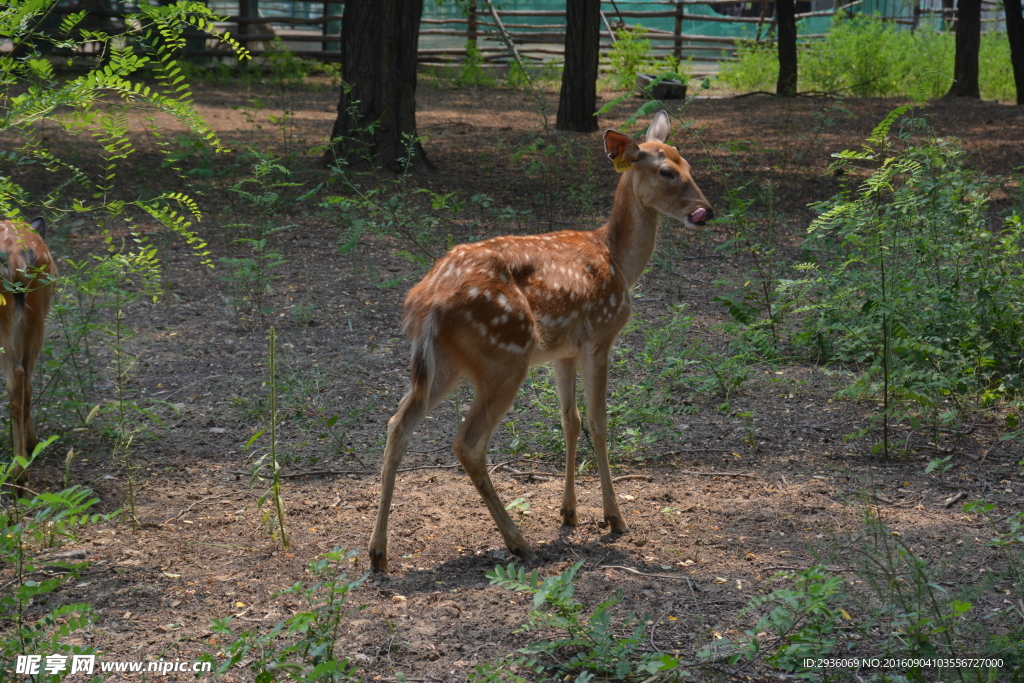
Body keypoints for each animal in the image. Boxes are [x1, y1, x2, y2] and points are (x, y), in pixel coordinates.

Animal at [368, 112, 712, 573]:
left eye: (688, 164)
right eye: (666, 172)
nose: (706, 212)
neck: (618, 260)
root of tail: (427, 301)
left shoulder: (562, 352)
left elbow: (571, 421)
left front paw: (569, 512)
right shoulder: (600, 336)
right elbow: (599, 422)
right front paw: (614, 518)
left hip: (443, 363)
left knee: (397, 425)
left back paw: (378, 554)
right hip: (505, 356)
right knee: (468, 443)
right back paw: (519, 543)